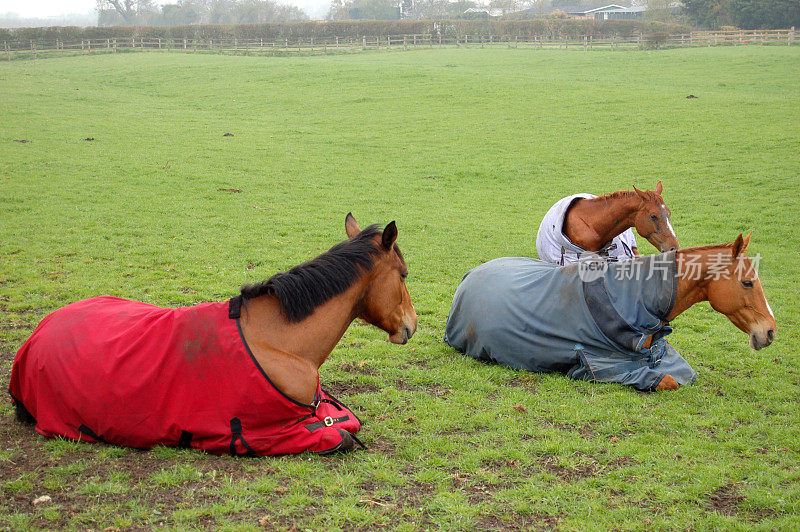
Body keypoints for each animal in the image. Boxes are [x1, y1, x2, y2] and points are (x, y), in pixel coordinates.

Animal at [10, 214, 418, 456]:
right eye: (403, 274)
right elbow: (342, 435)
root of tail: (35, 337)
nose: (411, 325)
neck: (281, 342)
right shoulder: (272, 433)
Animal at [444, 235, 776, 392]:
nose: (770, 331)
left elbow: (684, 373)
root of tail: (469, 276)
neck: (638, 296)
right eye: (747, 282)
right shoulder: (601, 365)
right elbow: (668, 380)